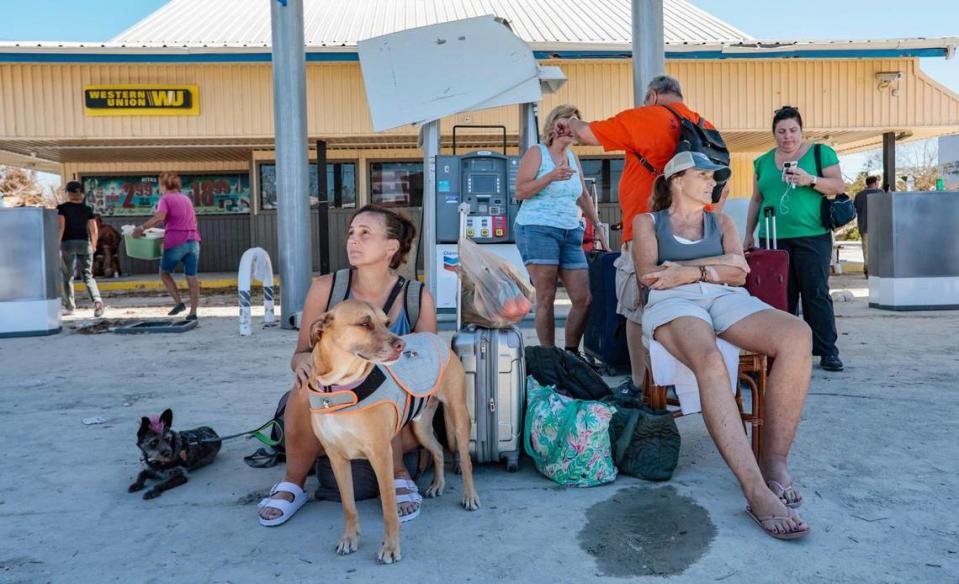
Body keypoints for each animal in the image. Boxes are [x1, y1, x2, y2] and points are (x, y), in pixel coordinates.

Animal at [308, 298, 480, 564]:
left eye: (386, 323)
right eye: (365, 323)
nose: (401, 345)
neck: (337, 389)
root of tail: (434, 336)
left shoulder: (381, 455)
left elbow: (390, 510)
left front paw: (390, 548)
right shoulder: (337, 458)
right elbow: (348, 506)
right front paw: (350, 539)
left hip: (459, 416)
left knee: (466, 461)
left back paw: (470, 496)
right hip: (420, 426)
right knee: (438, 450)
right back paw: (437, 484)